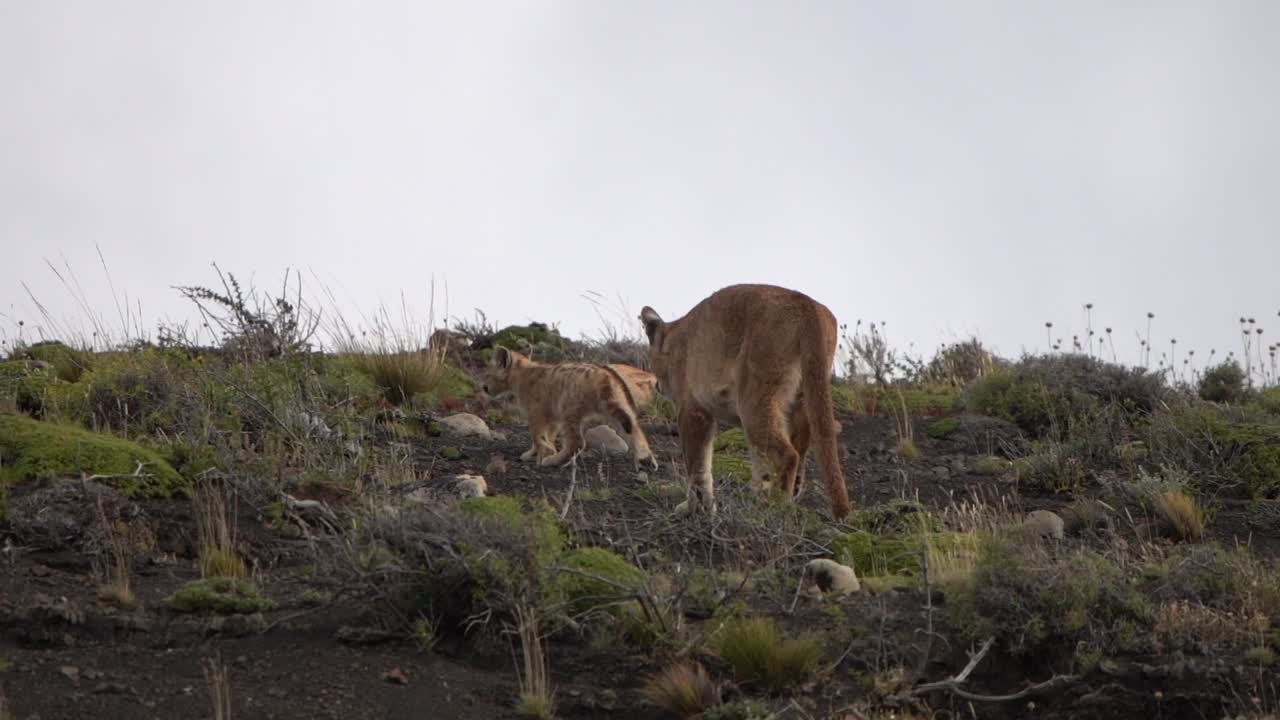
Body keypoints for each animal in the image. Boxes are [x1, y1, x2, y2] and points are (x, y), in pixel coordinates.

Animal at [480, 346, 660, 471]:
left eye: (487, 374)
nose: (484, 388)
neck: (522, 373)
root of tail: (604, 376)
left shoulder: (537, 413)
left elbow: (537, 436)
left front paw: (543, 453)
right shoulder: (551, 417)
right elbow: (547, 436)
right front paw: (540, 452)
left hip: (569, 409)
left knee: (577, 442)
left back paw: (553, 462)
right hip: (618, 407)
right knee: (636, 431)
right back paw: (646, 461)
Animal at [639, 284, 852, 519]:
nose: (656, 384)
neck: (674, 339)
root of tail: (806, 306)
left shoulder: (692, 409)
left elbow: (697, 463)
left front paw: (697, 508)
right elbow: (756, 462)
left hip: (754, 399)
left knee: (788, 455)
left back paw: (777, 506)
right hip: (801, 400)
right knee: (799, 449)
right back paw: (772, 501)